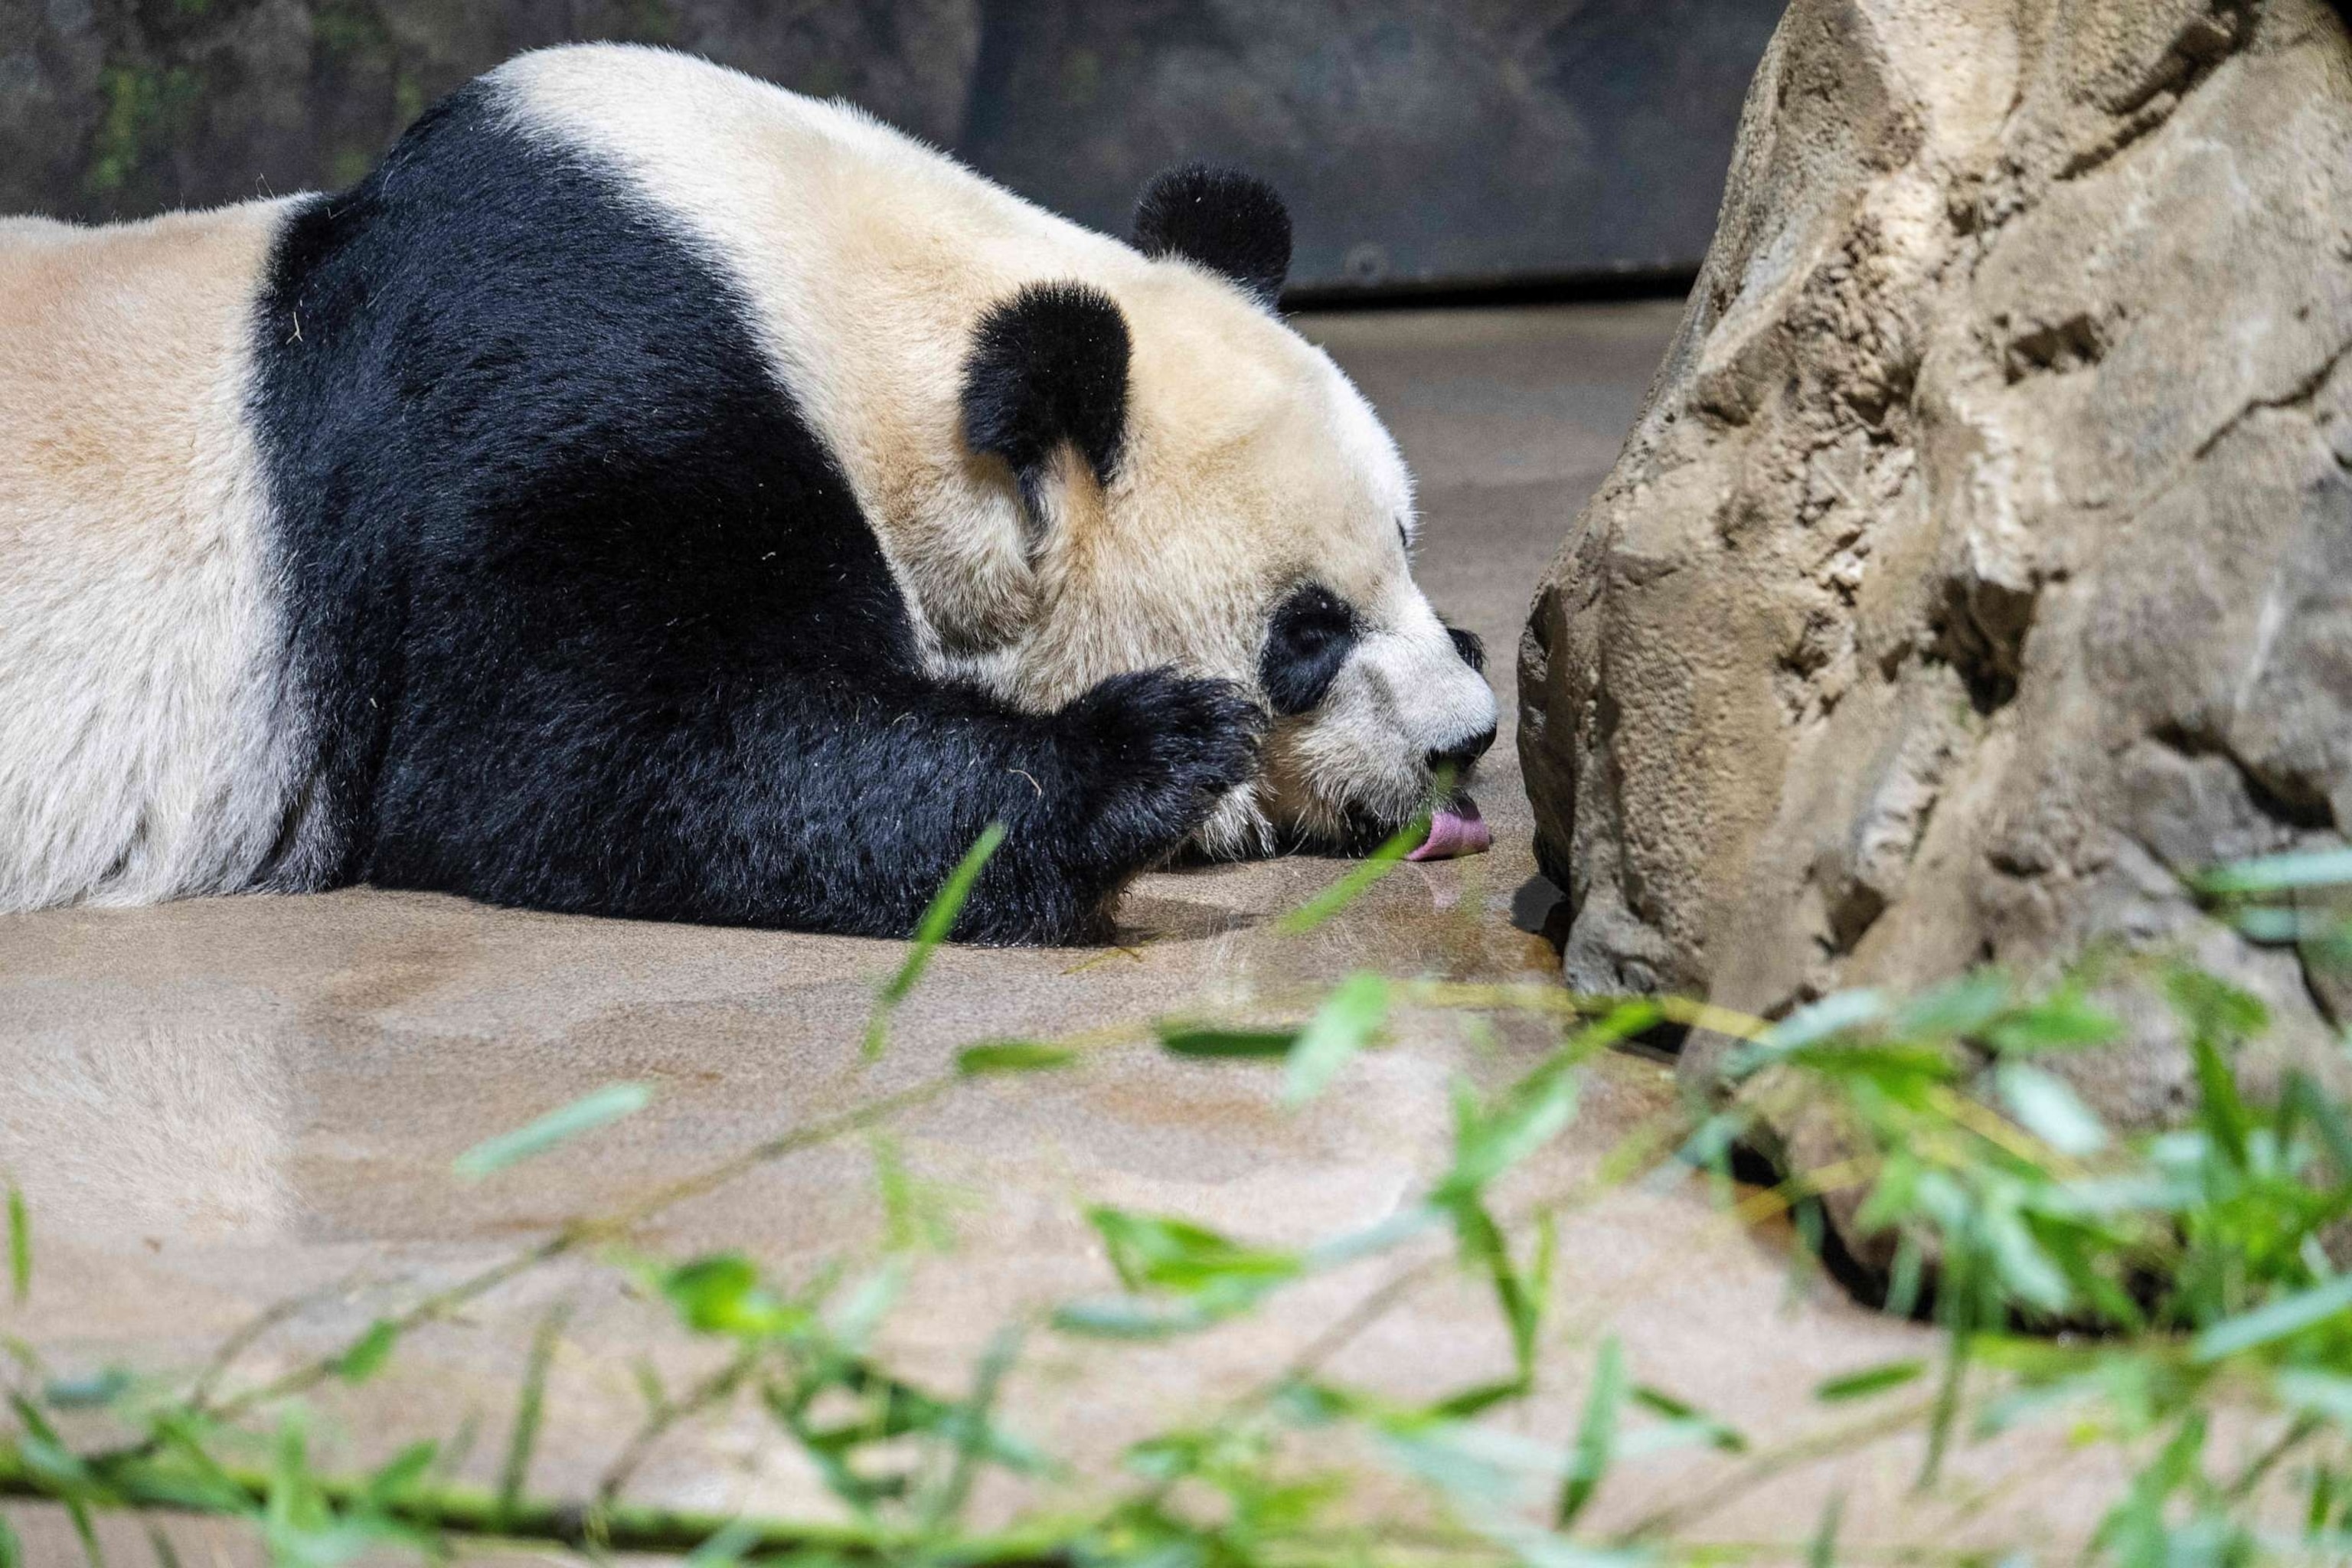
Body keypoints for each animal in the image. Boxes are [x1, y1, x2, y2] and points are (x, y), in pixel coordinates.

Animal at [0, 46, 1495, 945]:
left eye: (1408, 544)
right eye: (1305, 629)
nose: (1464, 741)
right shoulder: (557, 388)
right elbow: (577, 761)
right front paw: (1163, 758)